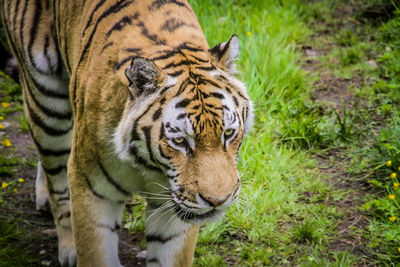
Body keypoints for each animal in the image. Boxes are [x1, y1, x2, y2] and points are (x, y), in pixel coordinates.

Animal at [1, 0, 253, 266]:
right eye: (180, 141)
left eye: (228, 133)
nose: (218, 201)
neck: (149, 166)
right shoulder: (91, 186)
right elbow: (95, 253)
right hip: (47, 102)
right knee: (57, 179)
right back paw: (68, 247)